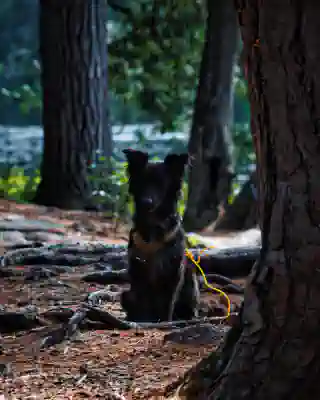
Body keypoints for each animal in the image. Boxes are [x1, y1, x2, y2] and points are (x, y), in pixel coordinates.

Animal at [120, 148, 200, 324]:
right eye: (142, 182)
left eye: (161, 184)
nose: (146, 202)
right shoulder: (138, 269)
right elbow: (141, 299)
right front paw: (140, 320)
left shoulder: (173, 272)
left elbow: (167, 303)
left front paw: (165, 322)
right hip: (125, 295)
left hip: (190, 284)